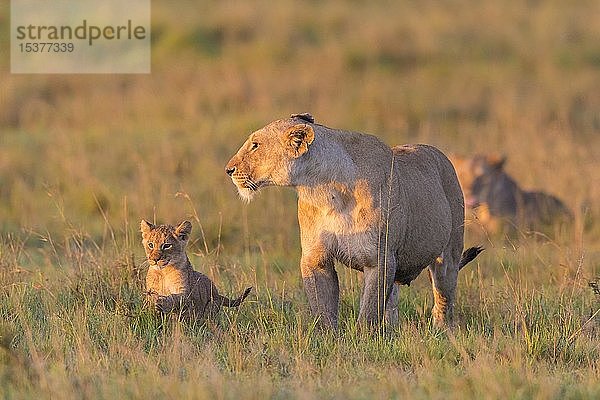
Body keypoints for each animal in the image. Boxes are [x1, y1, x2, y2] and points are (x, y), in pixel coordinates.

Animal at [226, 112, 482, 328]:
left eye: (255, 145)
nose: (229, 170)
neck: (324, 189)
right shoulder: (315, 258)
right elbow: (323, 305)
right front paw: (327, 340)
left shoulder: (380, 259)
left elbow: (369, 310)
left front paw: (364, 340)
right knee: (393, 299)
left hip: (448, 254)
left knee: (444, 296)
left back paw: (442, 330)